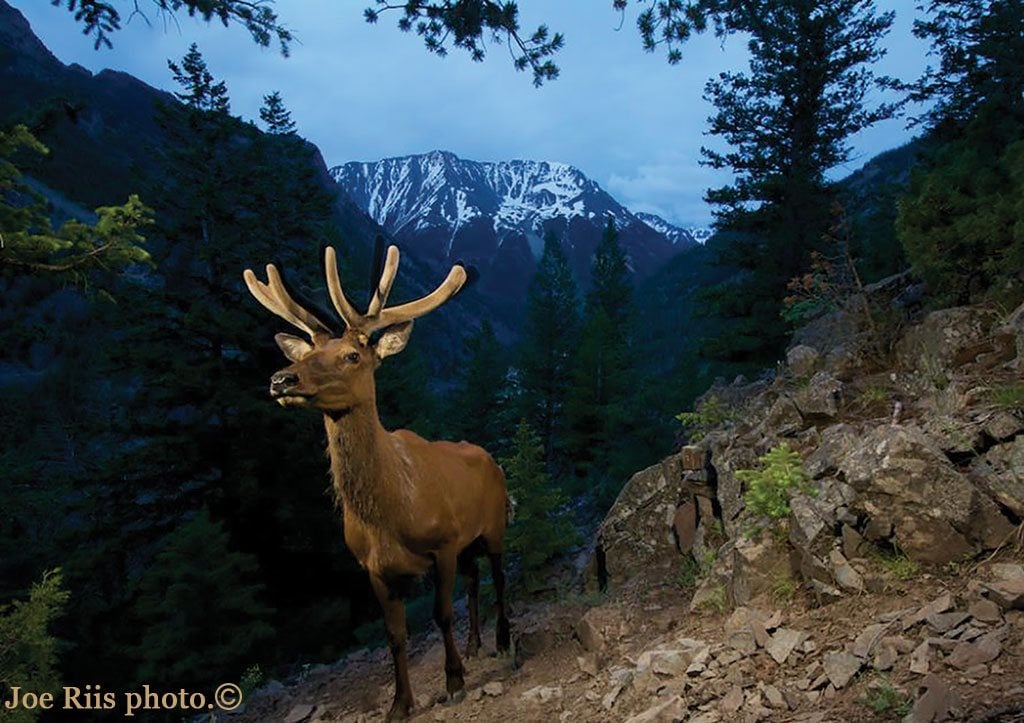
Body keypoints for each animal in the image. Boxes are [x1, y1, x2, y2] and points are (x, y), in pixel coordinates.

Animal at [240, 244, 512, 716]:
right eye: (302, 356)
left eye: (352, 355)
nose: (281, 379)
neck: (390, 515)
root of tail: (488, 457)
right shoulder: (374, 569)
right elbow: (394, 635)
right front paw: (401, 703)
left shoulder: (442, 545)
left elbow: (442, 615)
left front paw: (454, 681)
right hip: (469, 543)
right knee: (475, 581)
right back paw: (476, 644)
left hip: (494, 525)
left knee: (497, 575)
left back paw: (502, 639)